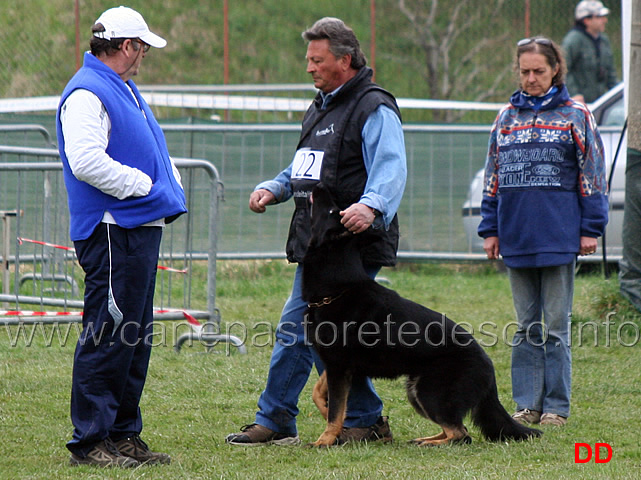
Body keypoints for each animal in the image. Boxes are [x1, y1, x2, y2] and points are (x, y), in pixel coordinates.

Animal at [302, 183, 544, 446]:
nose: (320, 185)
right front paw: (328, 417)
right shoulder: (338, 367)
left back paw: (429, 443)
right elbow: (319, 394)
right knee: (458, 429)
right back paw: (422, 440)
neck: (337, 287)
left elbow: (336, 411)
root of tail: (488, 367)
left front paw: (324, 440)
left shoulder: (339, 367)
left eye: (332, 211)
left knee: (460, 434)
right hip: (415, 391)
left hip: (429, 392)